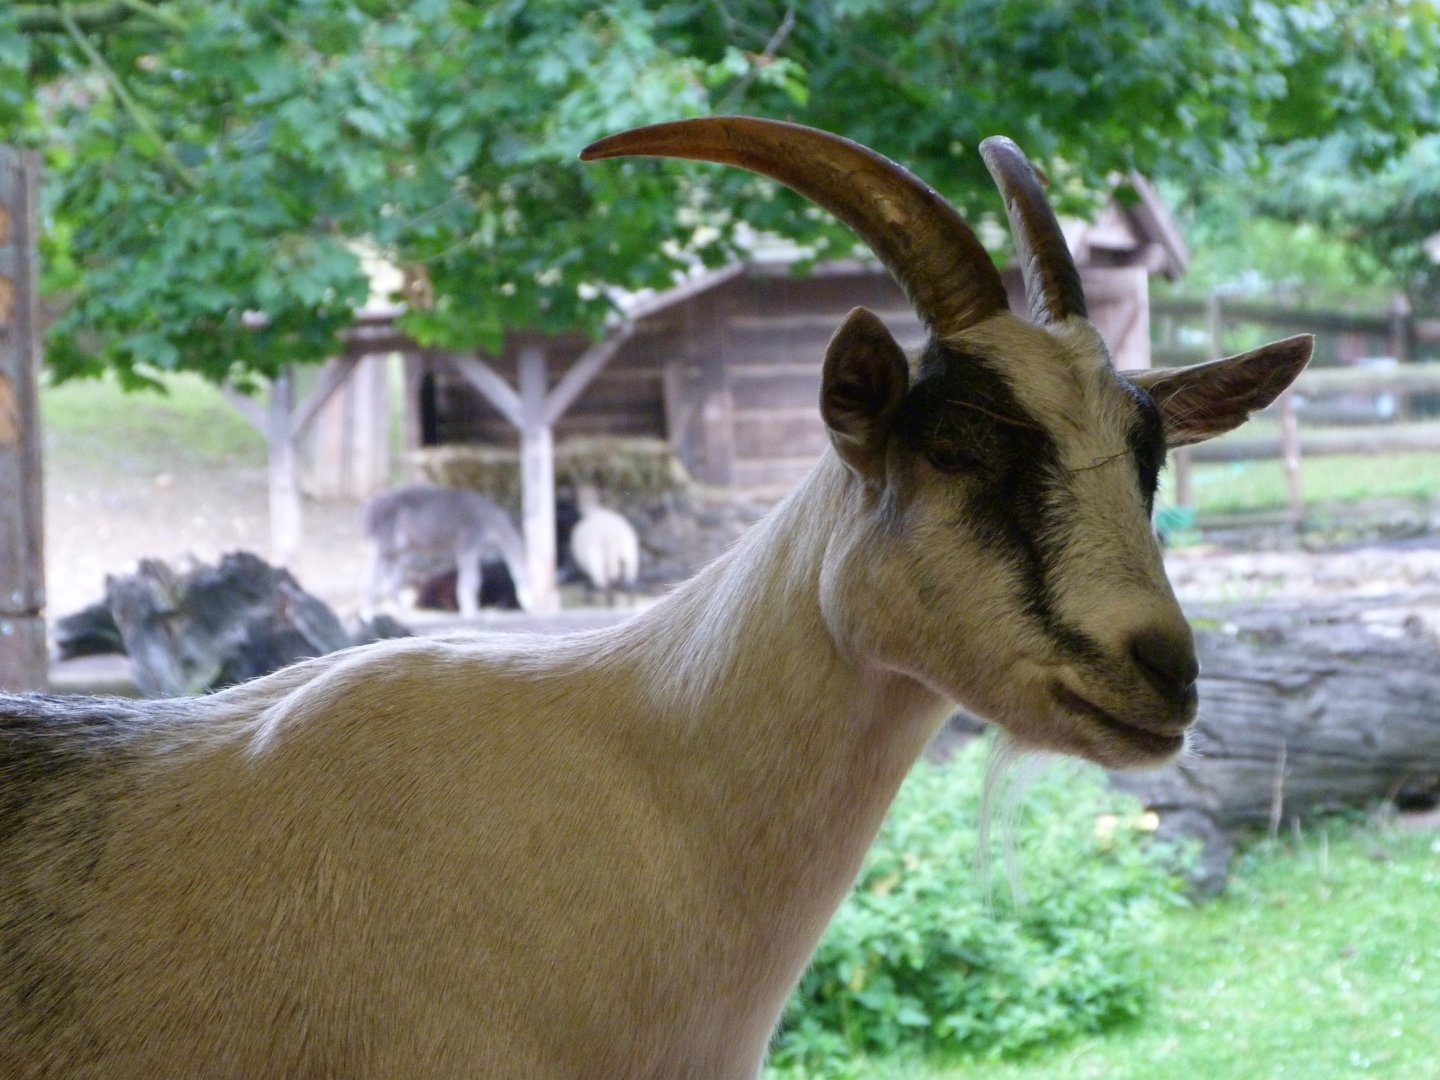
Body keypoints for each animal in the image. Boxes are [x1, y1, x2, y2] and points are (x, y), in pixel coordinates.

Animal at [359, 483, 533, 617]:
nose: (533, 604)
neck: (490, 522)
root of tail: (366, 511)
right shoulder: (469, 541)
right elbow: (472, 580)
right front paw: (470, 611)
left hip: (395, 550)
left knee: (390, 582)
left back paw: (400, 613)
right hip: (382, 543)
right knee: (371, 579)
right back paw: (369, 613)